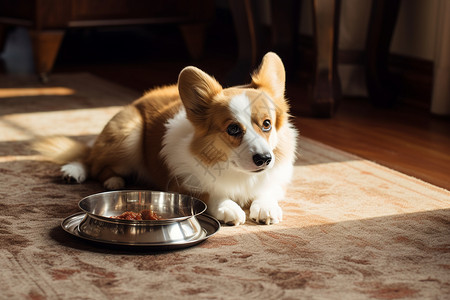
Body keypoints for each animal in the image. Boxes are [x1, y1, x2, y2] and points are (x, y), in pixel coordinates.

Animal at [33, 52, 298, 225]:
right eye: (233, 129)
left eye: (267, 124)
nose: (264, 159)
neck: (237, 172)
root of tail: (135, 102)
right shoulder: (181, 183)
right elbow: (210, 194)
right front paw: (229, 207)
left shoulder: (275, 178)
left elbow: (268, 189)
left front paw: (265, 207)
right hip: (129, 133)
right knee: (92, 162)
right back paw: (94, 176)